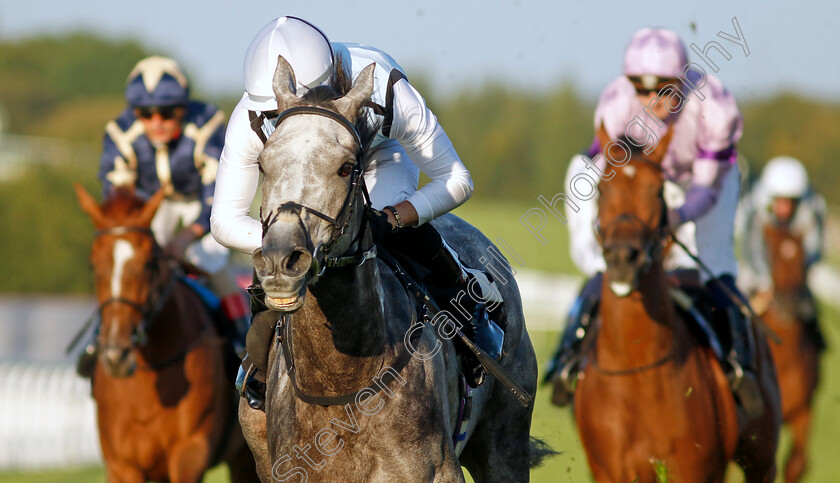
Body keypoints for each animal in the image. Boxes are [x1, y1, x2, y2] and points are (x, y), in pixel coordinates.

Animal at [238, 54, 552, 482]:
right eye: (263, 164)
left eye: (346, 167)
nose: (280, 262)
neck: (341, 378)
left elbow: (454, 179)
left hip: (506, 446)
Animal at [576, 126, 784, 482]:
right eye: (602, 189)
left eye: (657, 190)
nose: (622, 258)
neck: (638, 372)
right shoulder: (608, 471)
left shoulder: (695, 470)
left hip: (761, 457)